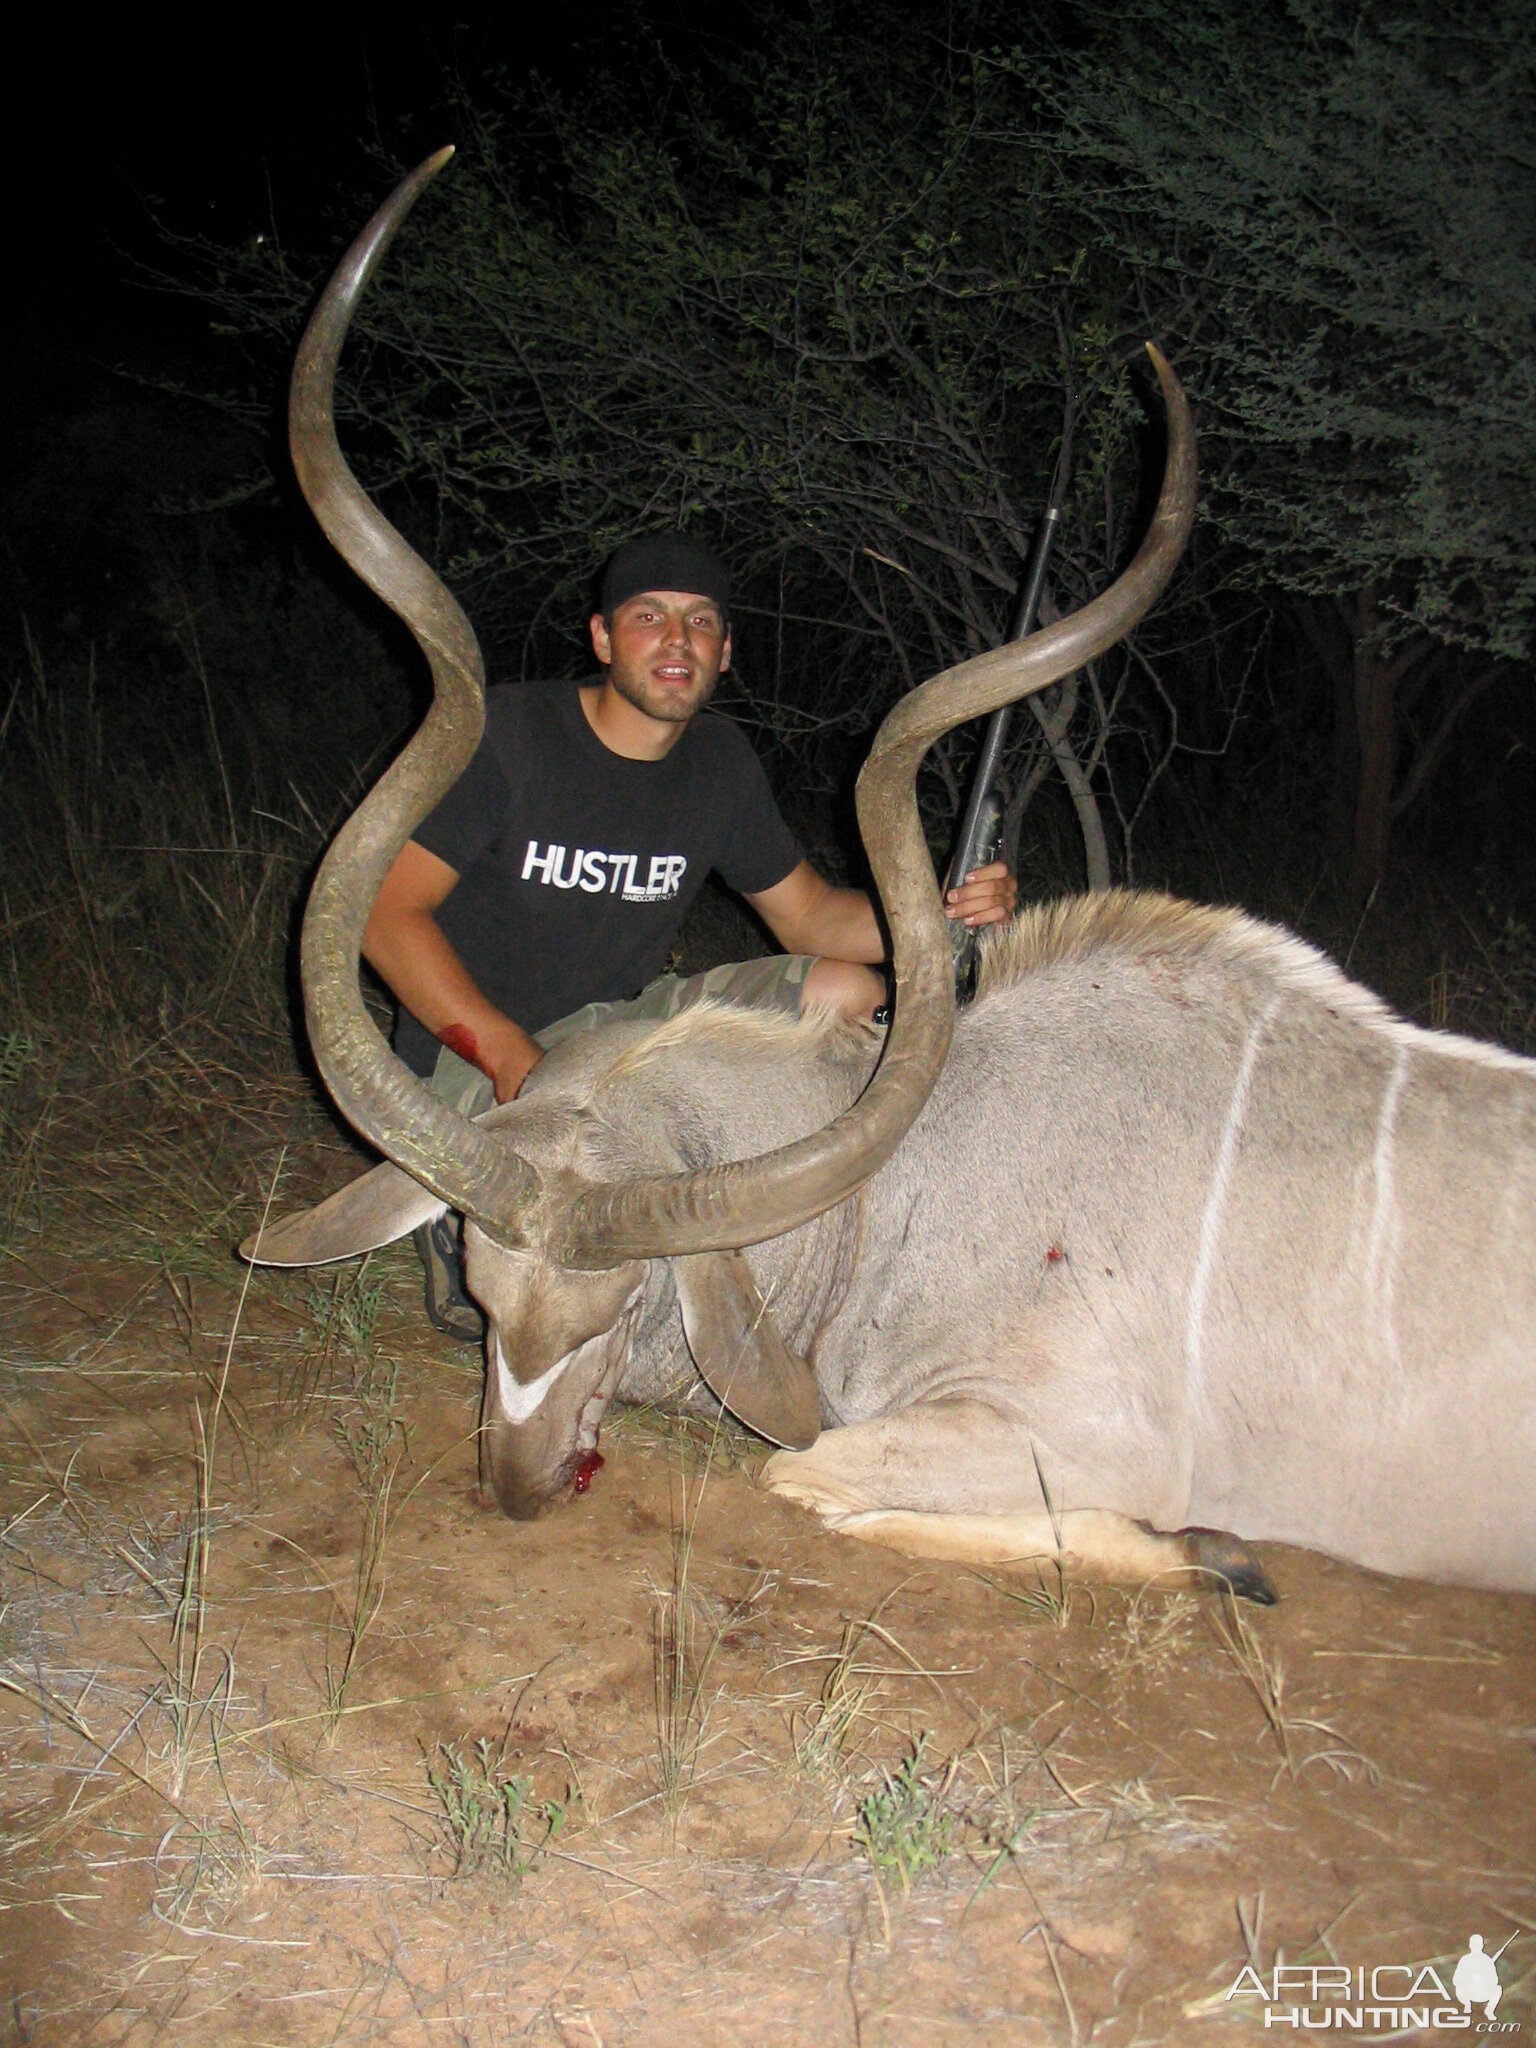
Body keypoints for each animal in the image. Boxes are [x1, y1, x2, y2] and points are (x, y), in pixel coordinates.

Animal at [246, 159, 1531, 1597]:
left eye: (622, 1303)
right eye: (478, 1293)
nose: (517, 1485)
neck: (907, 1182)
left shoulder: (1068, 1433)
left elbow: (807, 1475)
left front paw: (1218, 1551)